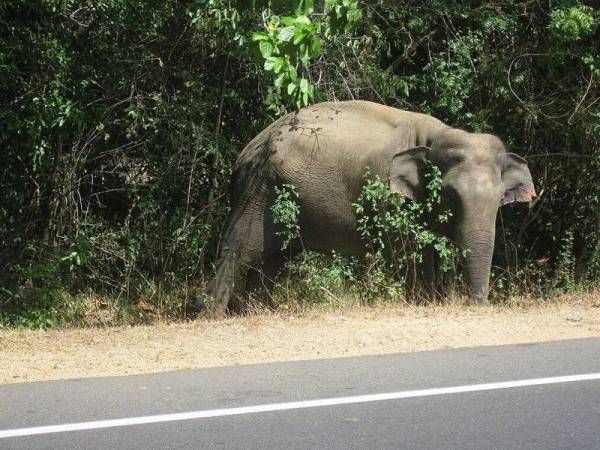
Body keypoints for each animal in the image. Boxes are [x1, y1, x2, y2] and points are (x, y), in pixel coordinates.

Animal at [199, 100, 536, 314]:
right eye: (450, 195)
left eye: (500, 199)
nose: (478, 304)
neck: (435, 135)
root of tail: (247, 150)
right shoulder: (389, 197)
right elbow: (406, 252)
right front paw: (419, 302)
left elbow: (424, 253)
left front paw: (428, 300)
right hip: (257, 190)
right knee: (238, 250)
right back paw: (212, 314)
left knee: (272, 259)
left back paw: (258, 311)